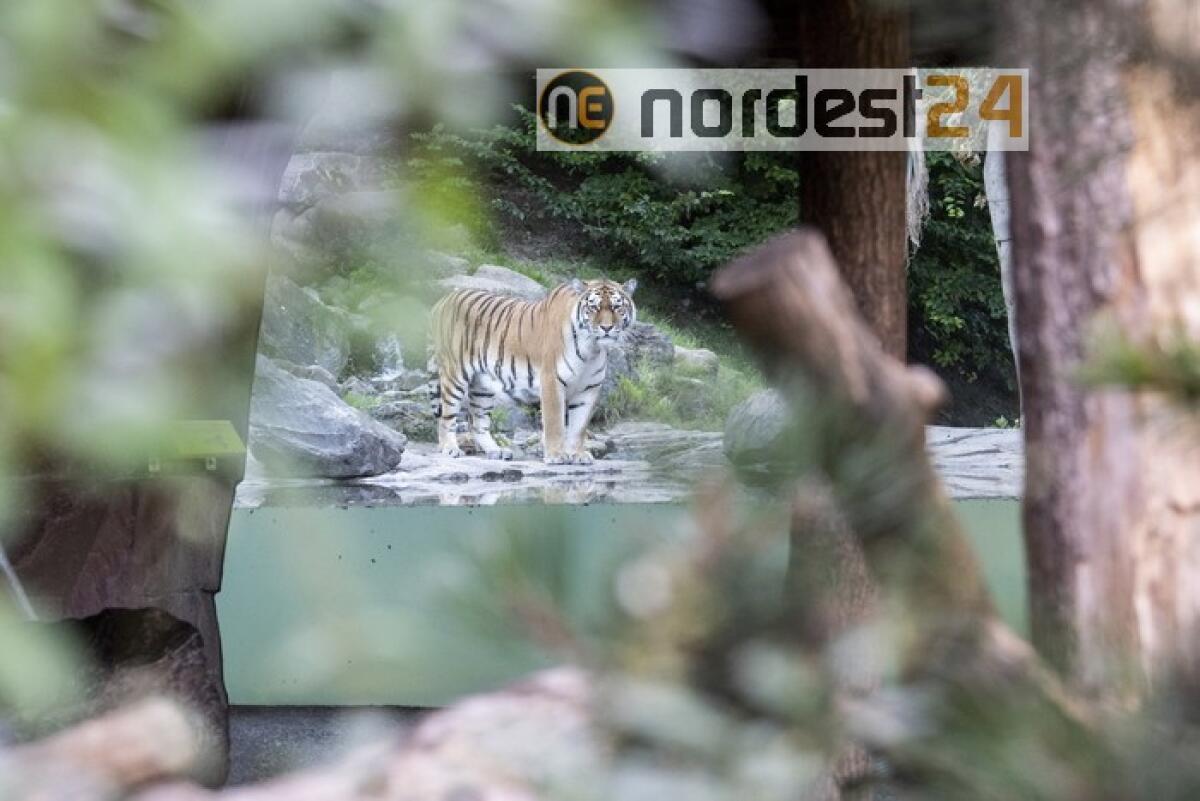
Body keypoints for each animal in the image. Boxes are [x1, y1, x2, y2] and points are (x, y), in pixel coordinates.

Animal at [429, 277, 638, 465]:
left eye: (617, 307)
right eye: (593, 307)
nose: (606, 328)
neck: (592, 349)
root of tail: (443, 301)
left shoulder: (589, 389)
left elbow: (579, 426)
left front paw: (578, 455)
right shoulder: (552, 381)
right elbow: (555, 423)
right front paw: (556, 456)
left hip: (482, 385)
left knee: (477, 423)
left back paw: (497, 451)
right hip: (454, 375)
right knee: (446, 417)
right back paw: (450, 448)